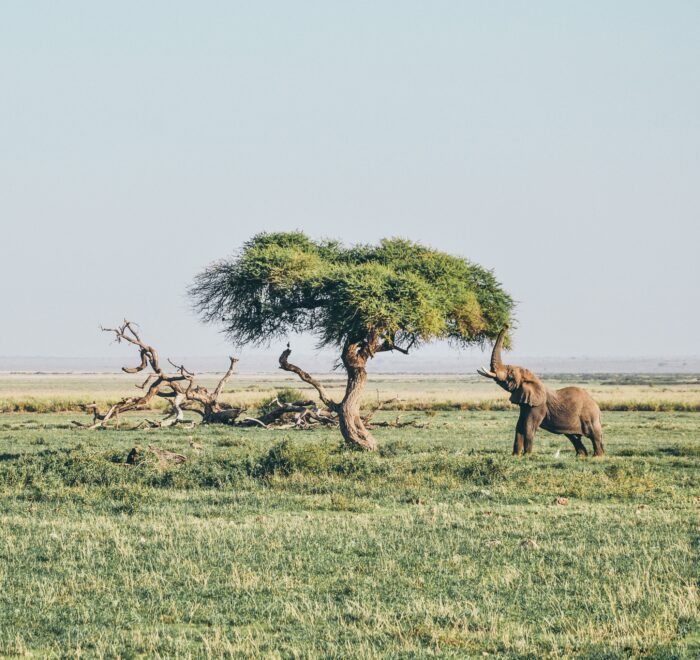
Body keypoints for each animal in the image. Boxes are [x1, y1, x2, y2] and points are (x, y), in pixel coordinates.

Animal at [478, 328, 604, 456]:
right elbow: (519, 425)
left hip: (590, 416)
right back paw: (581, 456)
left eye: (511, 376)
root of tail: (597, 406)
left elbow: (528, 426)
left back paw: (597, 457)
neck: (532, 379)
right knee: (573, 436)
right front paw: (516, 456)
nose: (506, 326)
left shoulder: (538, 406)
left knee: (594, 435)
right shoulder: (526, 403)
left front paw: (527, 455)